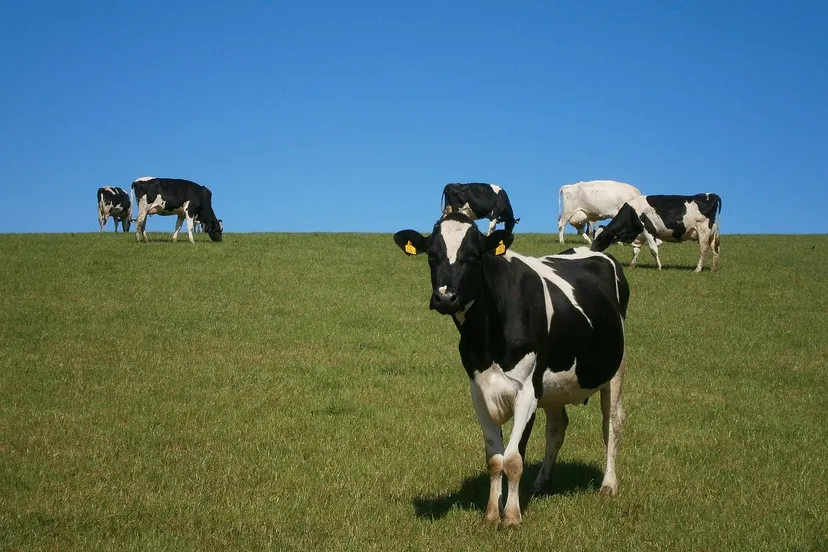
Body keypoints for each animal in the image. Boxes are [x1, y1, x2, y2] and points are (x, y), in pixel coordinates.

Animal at [393, 213, 629, 527]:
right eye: (432, 255)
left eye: (473, 255)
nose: (445, 297)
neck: (486, 338)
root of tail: (594, 251)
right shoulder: (479, 392)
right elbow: (495, 459)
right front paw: (492, 513)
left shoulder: (527, 391)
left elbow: (513, 459)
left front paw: (513, 516)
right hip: (552, 385)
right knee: (557, 428)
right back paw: (542, 482)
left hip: (615, 371)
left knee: (611, 424)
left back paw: (608, 485)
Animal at [591, 193, 722, 272]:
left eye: (600, 238)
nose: (592, 250)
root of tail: (711, 195)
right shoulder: (639, 236)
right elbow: (636, 250)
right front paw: (632, 266)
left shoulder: (648, 230)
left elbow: (653, 250)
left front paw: (659, 267)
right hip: (711, 233)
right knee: (715, 249)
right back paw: (713, 269)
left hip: (703, 231)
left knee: (703, 249)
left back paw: (698, 269)